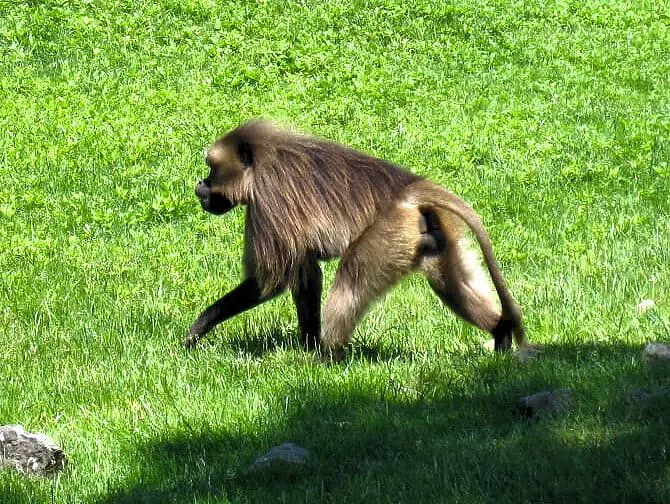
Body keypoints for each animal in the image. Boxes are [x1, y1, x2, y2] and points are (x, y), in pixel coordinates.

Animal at [184, 119, 535, 358]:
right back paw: (500, 333)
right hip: (435, 230)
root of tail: (409, 189)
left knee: (351, 281)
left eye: (212, 169)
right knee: (451, 282)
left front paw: (198, 329)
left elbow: (272, 279)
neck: (260, 162)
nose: (200, 185)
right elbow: (306, 275)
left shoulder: (270, 199)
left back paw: (325, 359)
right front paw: (307, 344)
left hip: (388, 234)